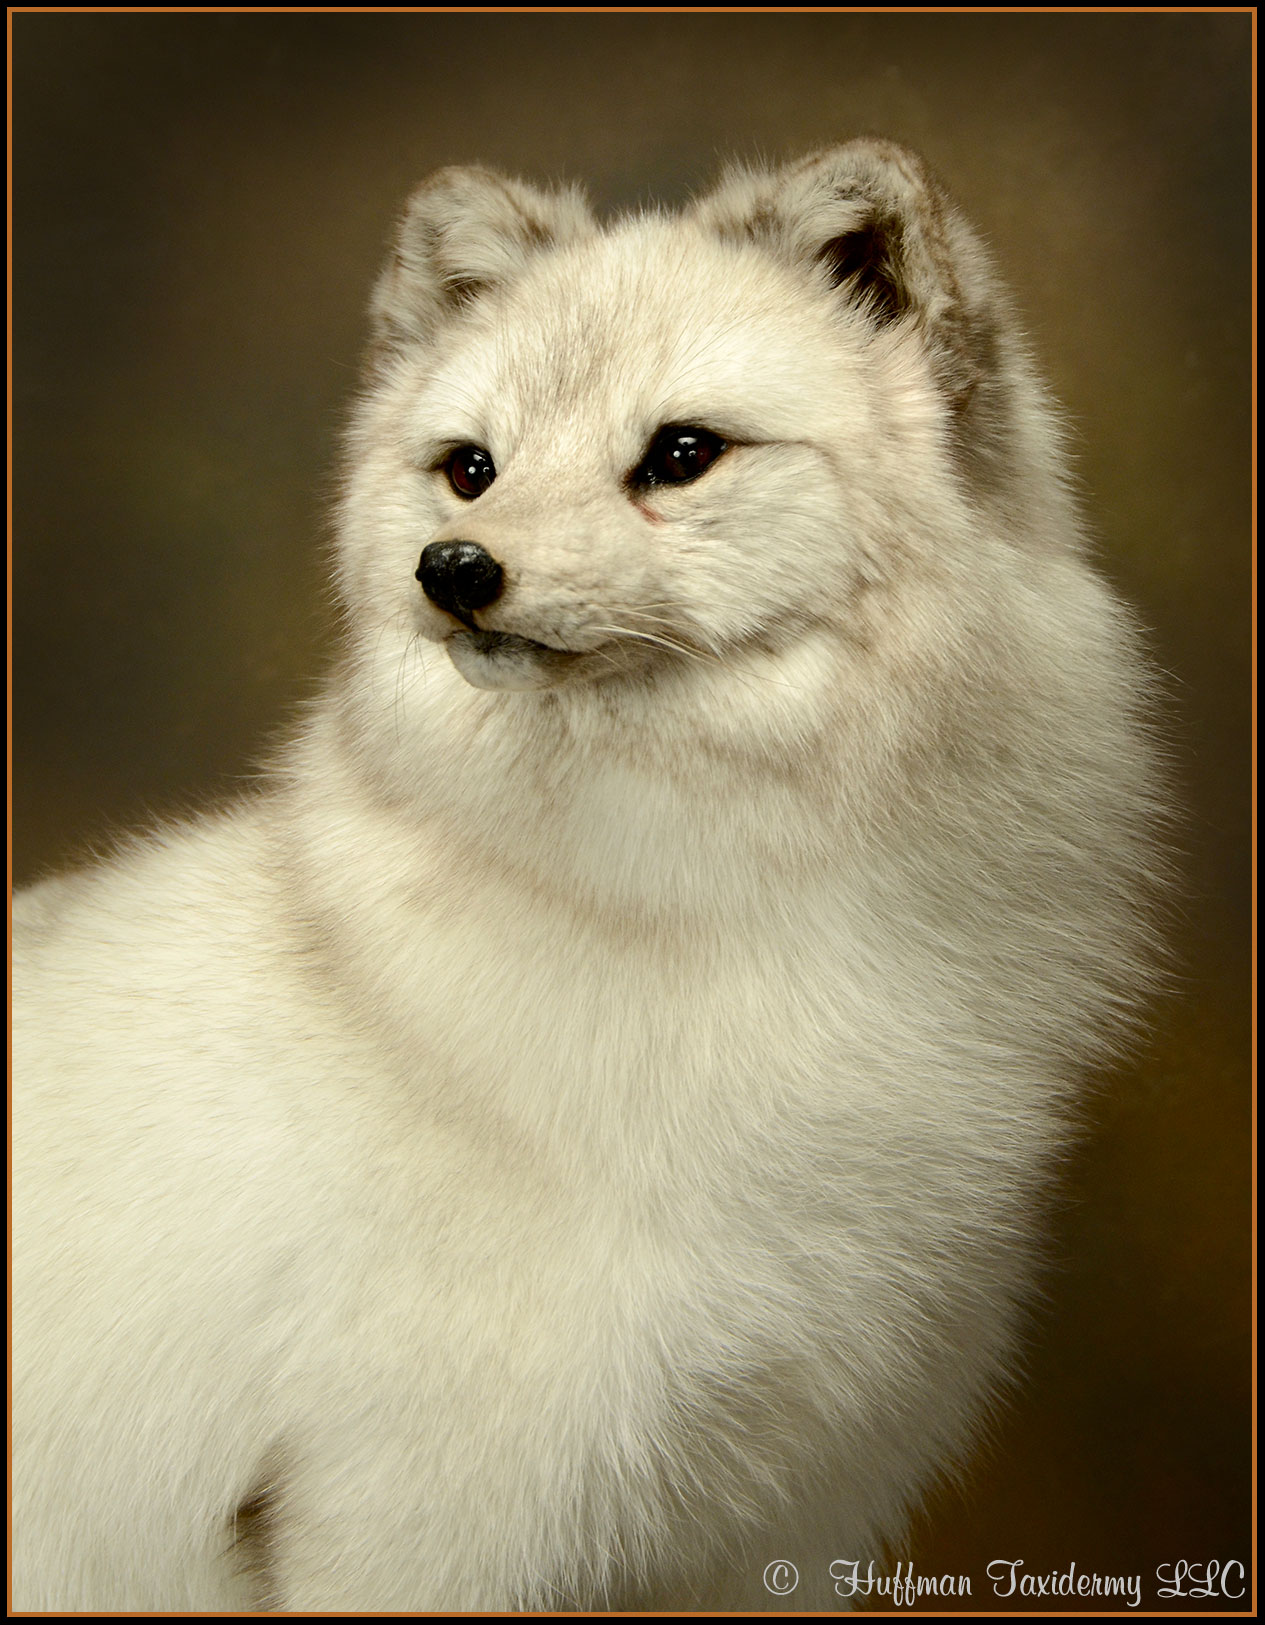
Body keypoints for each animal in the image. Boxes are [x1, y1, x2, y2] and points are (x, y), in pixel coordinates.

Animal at [12, 140, 1165, 1611]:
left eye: (681, 453)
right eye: (469, 468)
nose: (452, 569)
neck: (691, 911)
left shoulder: (769, 1531)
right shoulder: (418, 1529)